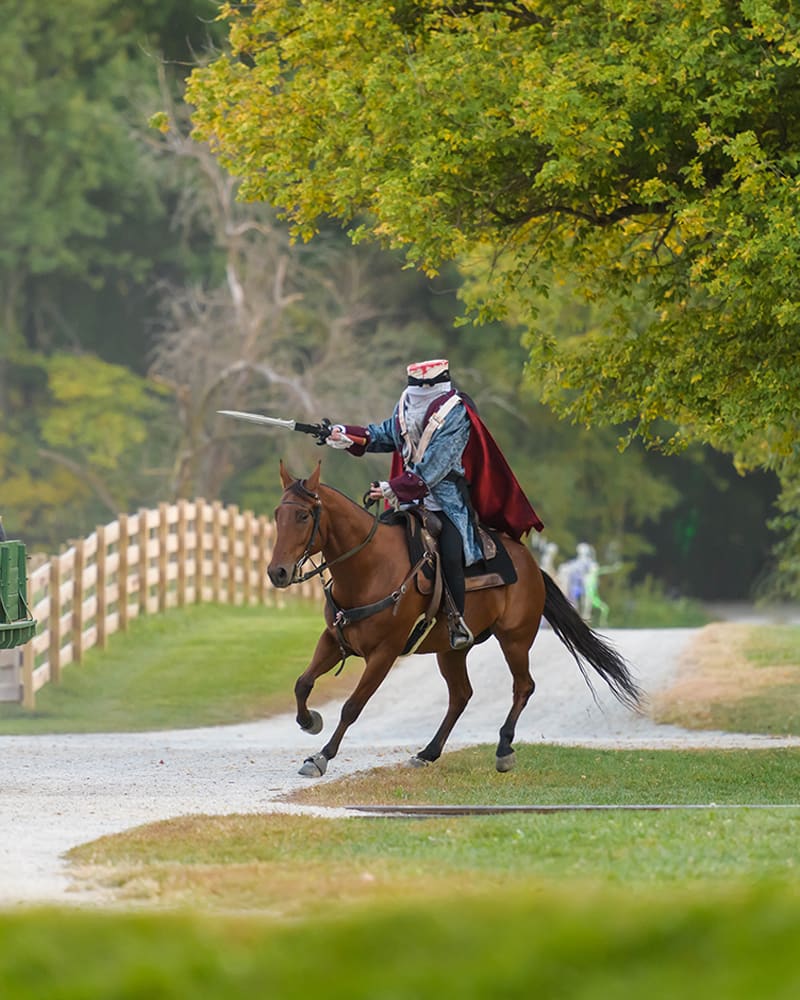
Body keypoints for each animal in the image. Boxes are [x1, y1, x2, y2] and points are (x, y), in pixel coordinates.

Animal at [266, 464, 640, 776]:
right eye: (277, 514)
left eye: (303, 515)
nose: (277, 572)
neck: (369, 567)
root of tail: (532, 566)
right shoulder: (334, 640)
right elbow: (303, 683)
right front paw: (309, 721)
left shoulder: (384, 653)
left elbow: (352, 707)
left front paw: (320, 756)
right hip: (451, 651)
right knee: (461, 695)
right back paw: (428, 753)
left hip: (515, 640)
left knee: (523, 686)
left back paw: (503, 749)